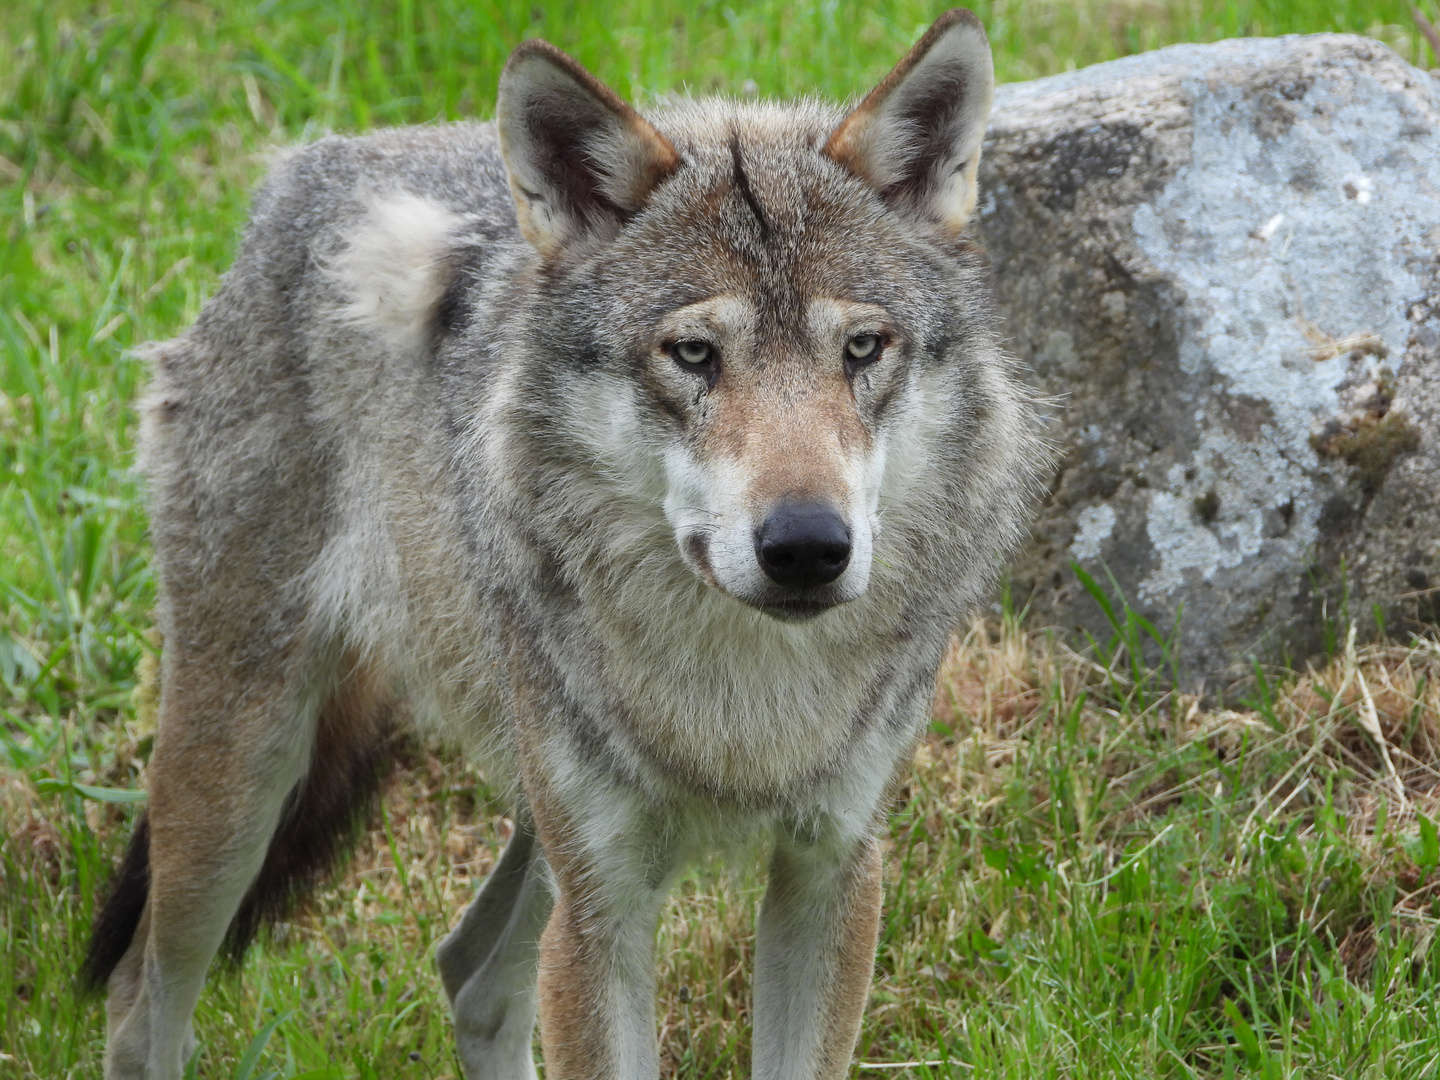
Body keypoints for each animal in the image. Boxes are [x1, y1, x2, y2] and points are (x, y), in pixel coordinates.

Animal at [81, 10, 1048, 1080]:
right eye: (694, 355)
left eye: (862, 350)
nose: (807, 545)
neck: (744, 705)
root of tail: (299, 173)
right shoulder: (602, 911)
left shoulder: (832, 872)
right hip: (240, 783)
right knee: (139, 1003)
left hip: (525, 831)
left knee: (468, 972)